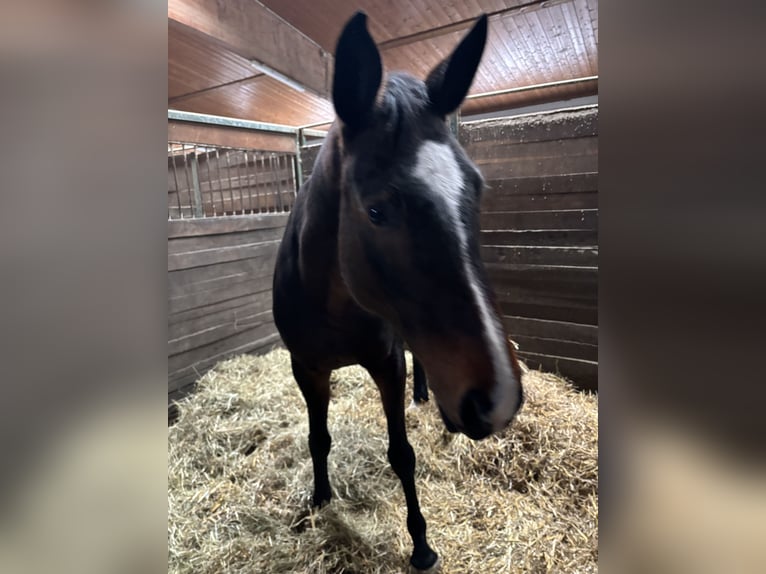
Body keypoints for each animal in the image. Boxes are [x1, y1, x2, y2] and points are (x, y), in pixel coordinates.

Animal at [272, 12, 523, 571]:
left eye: (476, 188)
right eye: (376, 210)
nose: (497, 399)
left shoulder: (387, 363)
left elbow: (401, 454)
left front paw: (422, 545)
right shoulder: (307, 368)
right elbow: (318, 438)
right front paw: (321, 498)